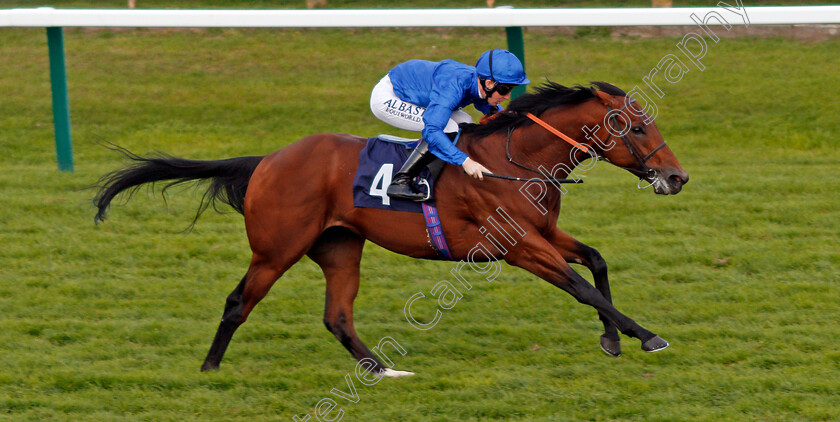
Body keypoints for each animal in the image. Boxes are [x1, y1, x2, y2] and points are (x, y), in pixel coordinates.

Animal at [93, 81, 688, 374]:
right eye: (637, 127)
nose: (677, 177)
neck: (516, 160)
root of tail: (268, 160)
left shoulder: (545, 234)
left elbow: (595, 261)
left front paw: (612, 339)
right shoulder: (518, 246)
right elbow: (581, 285)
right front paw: (646, 336)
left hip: (339, 247)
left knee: (336, 316)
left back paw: (381, 371)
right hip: (276, 249)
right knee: (239, 301)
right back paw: (211, 368)